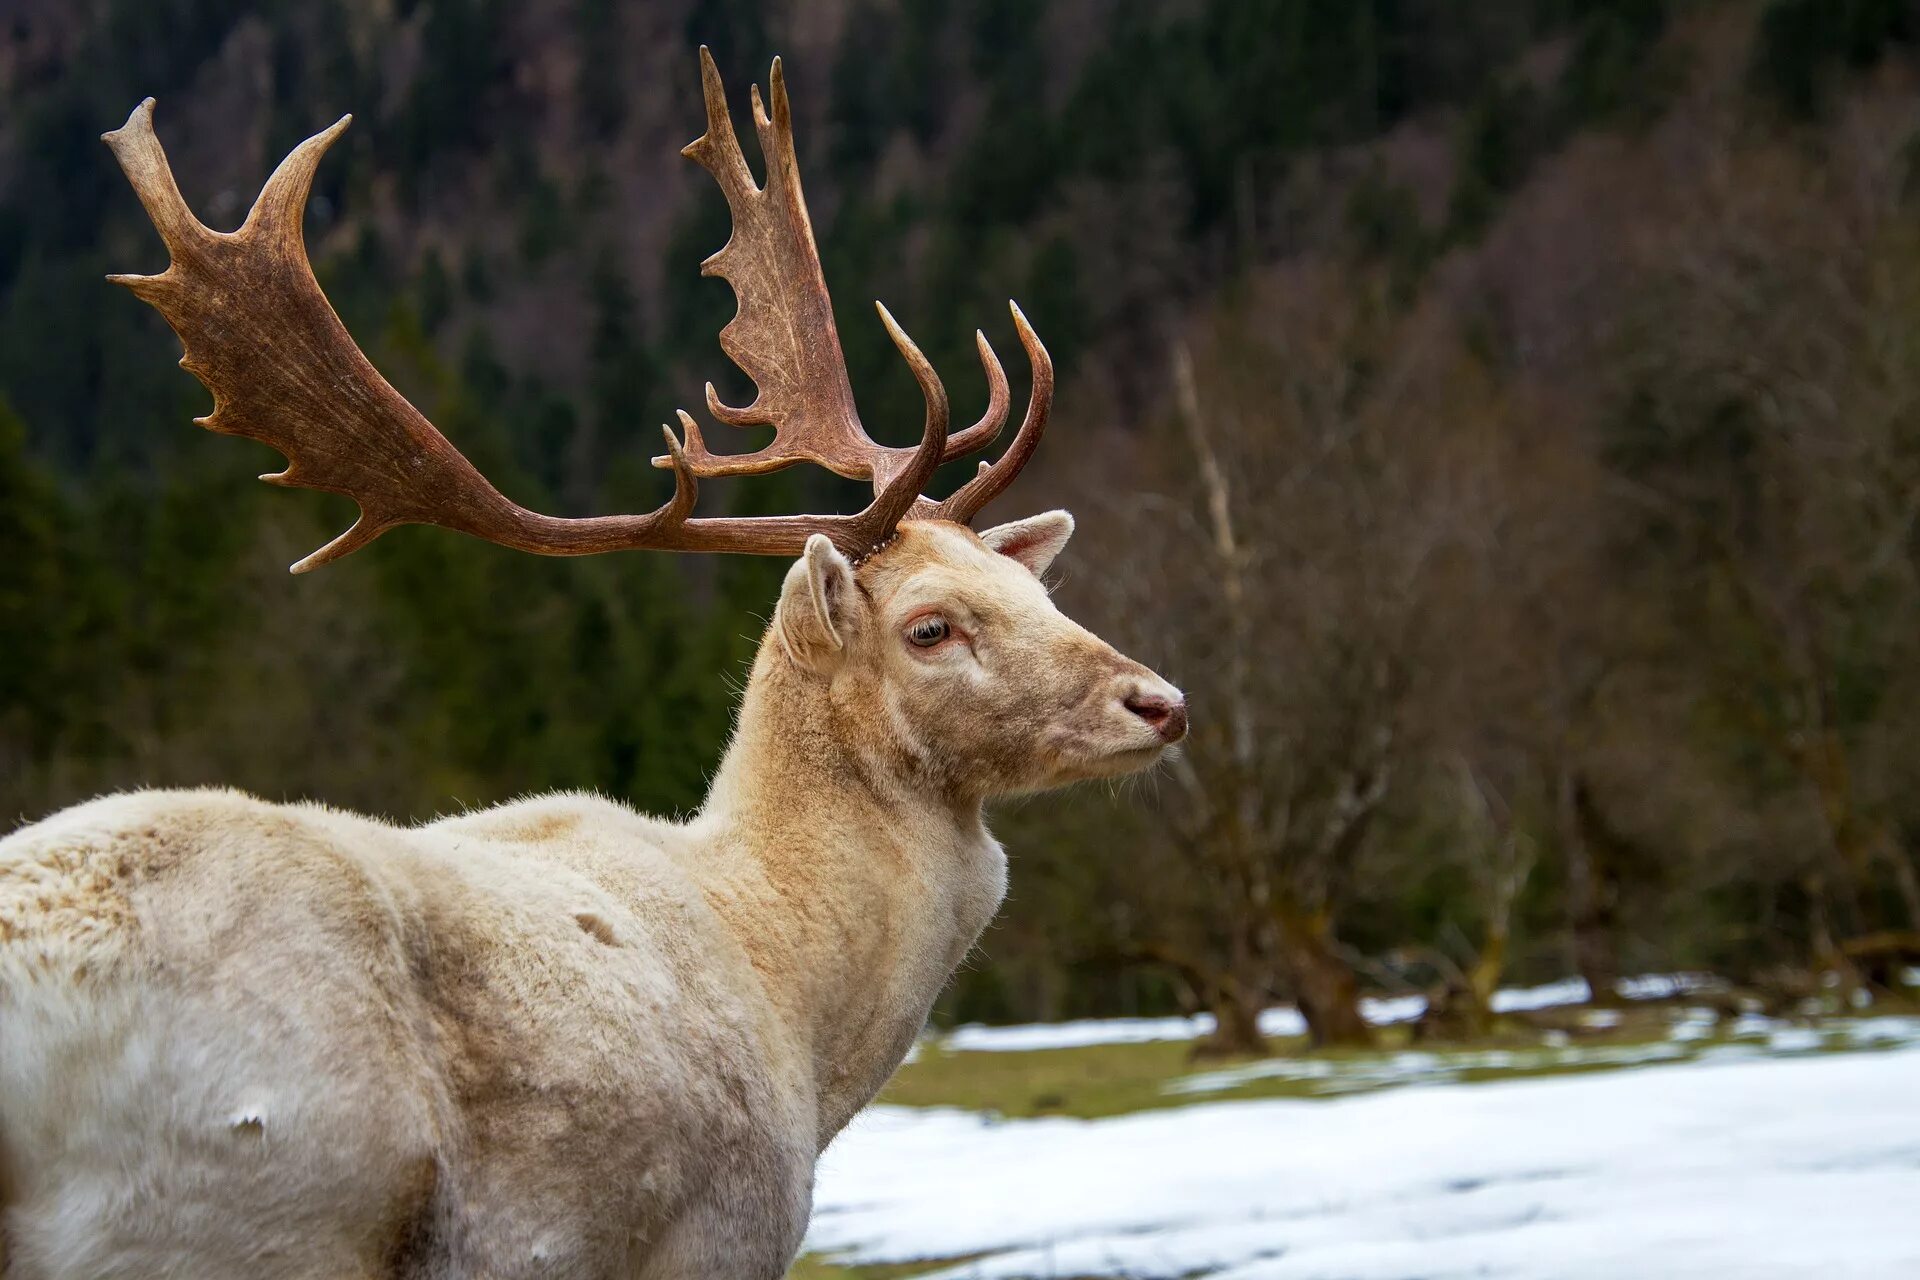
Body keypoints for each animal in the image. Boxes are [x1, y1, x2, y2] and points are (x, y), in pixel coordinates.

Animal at [0, 45, 1182, 1280]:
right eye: (931, 626)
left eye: (1038, 589)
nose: (1160, 701)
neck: (802, 1023)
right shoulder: (718, 1234)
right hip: (244, 1200)